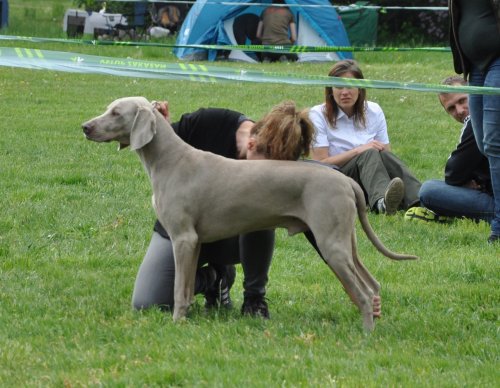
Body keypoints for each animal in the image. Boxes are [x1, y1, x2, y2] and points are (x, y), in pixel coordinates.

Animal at [83, 95, 418, 328]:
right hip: (345, 240)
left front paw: (177, 323)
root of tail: (347, 181)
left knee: (363, 292)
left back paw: (366, 333)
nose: (84, 127)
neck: (170, 160)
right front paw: (187, 317)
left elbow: (178, 289)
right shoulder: (193, 243)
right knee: (372, 284)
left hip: (331, 242)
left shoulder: (183, 238)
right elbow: (188, 286)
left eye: (116, 112)